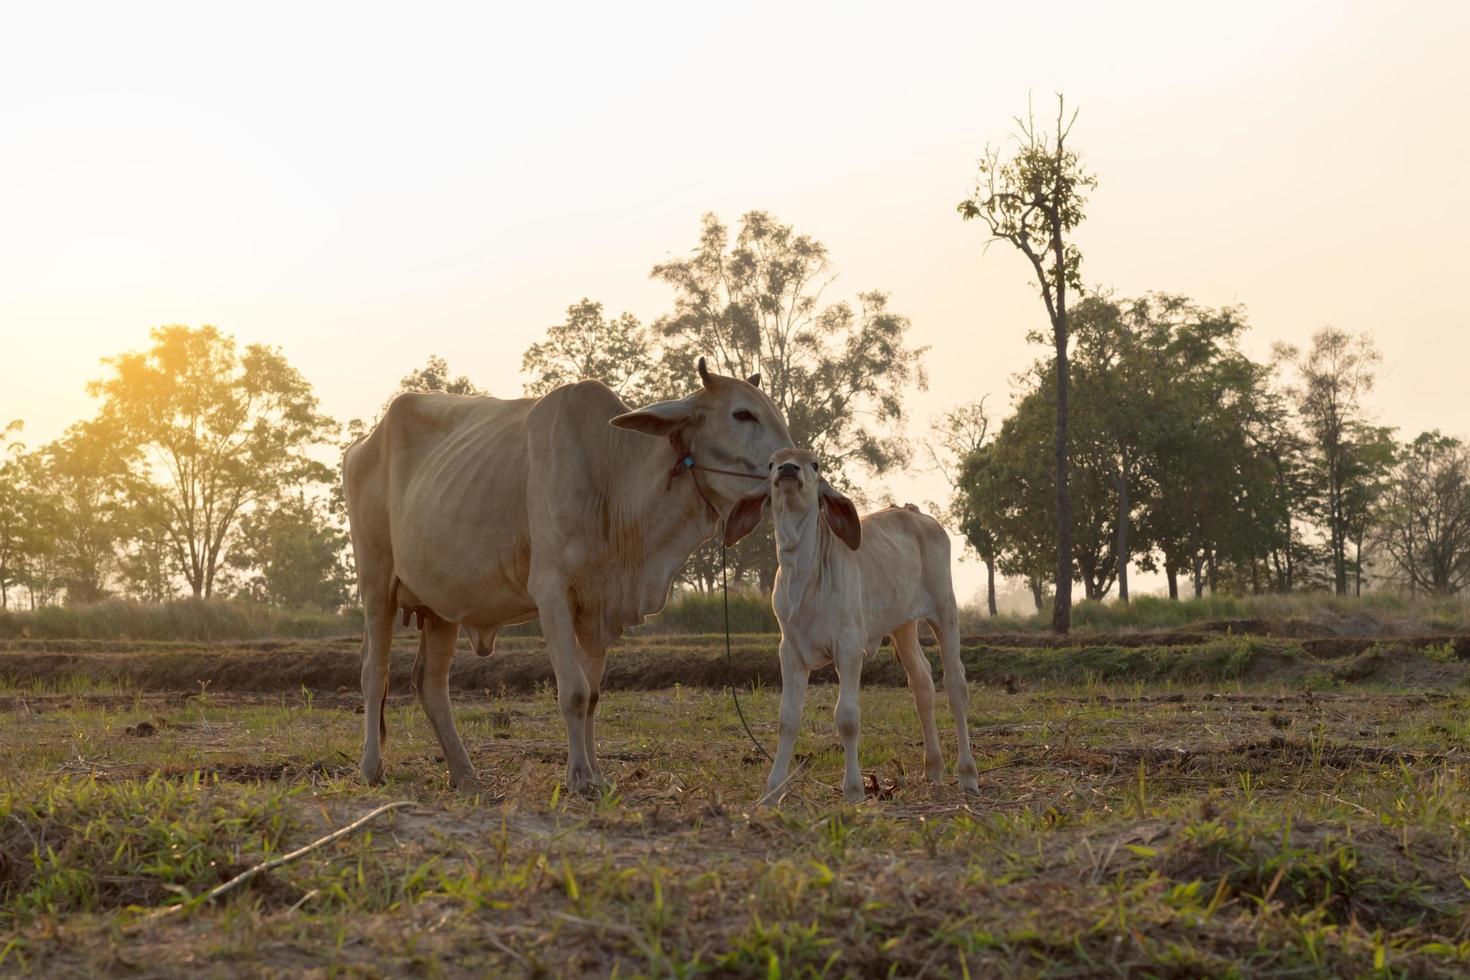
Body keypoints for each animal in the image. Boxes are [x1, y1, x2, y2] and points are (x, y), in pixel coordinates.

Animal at [342, 359, 793, 799]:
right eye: (742, 414)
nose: (791, 465)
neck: (611, 475)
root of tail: (364, 443)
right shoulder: (552, 592)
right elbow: (573, 691)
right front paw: (578, 777)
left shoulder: (599, 608)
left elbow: (591, 696)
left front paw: (597, 775)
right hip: (376, 582)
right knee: (373, 673)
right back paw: (371, 768)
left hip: (442, 606)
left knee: (431, 683)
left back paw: (465, 774)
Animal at [720, 449, 976, 799]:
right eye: (772, 463)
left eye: (814, 464)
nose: (788, 470)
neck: (803, 576)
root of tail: (916, 513)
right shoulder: (790, 650)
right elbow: (787, 719)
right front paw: (772, 790)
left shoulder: (849, 647)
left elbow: (847, 717)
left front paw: (854, 789)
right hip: (902, 625)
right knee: (922, 682)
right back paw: (933, 767)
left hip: (944, 610)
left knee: (956, 685)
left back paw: (968, 774)